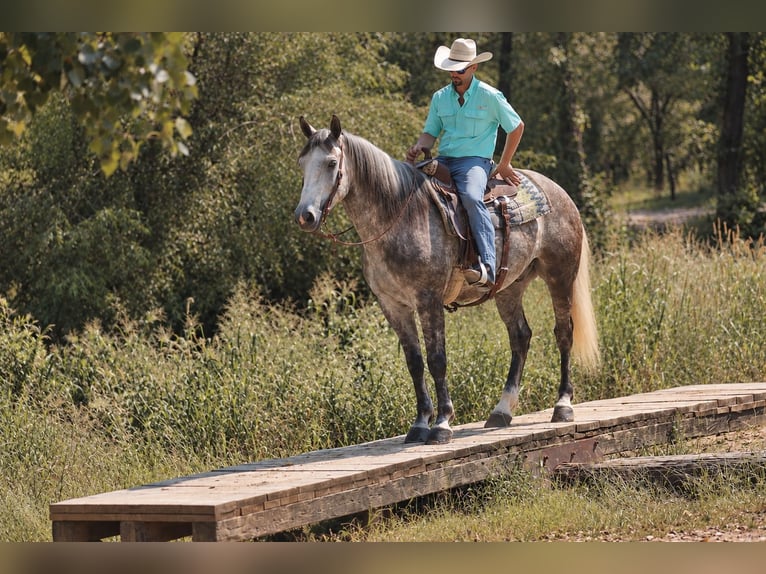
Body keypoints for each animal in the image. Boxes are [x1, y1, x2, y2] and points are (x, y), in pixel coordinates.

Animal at [294, 115, 599, 445]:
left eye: (331, 163)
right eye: (302, 163)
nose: (305, 216)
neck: (398, 218)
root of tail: (557, 191)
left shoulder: (428, 300)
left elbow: (437, 359)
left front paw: (441, 424)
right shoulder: (393, 306)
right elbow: (415, 363)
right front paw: (419, 424)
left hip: (560, 274)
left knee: (563, 332)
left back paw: (563, 406)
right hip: (509, 288)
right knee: (520, 337)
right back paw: (501, 411)